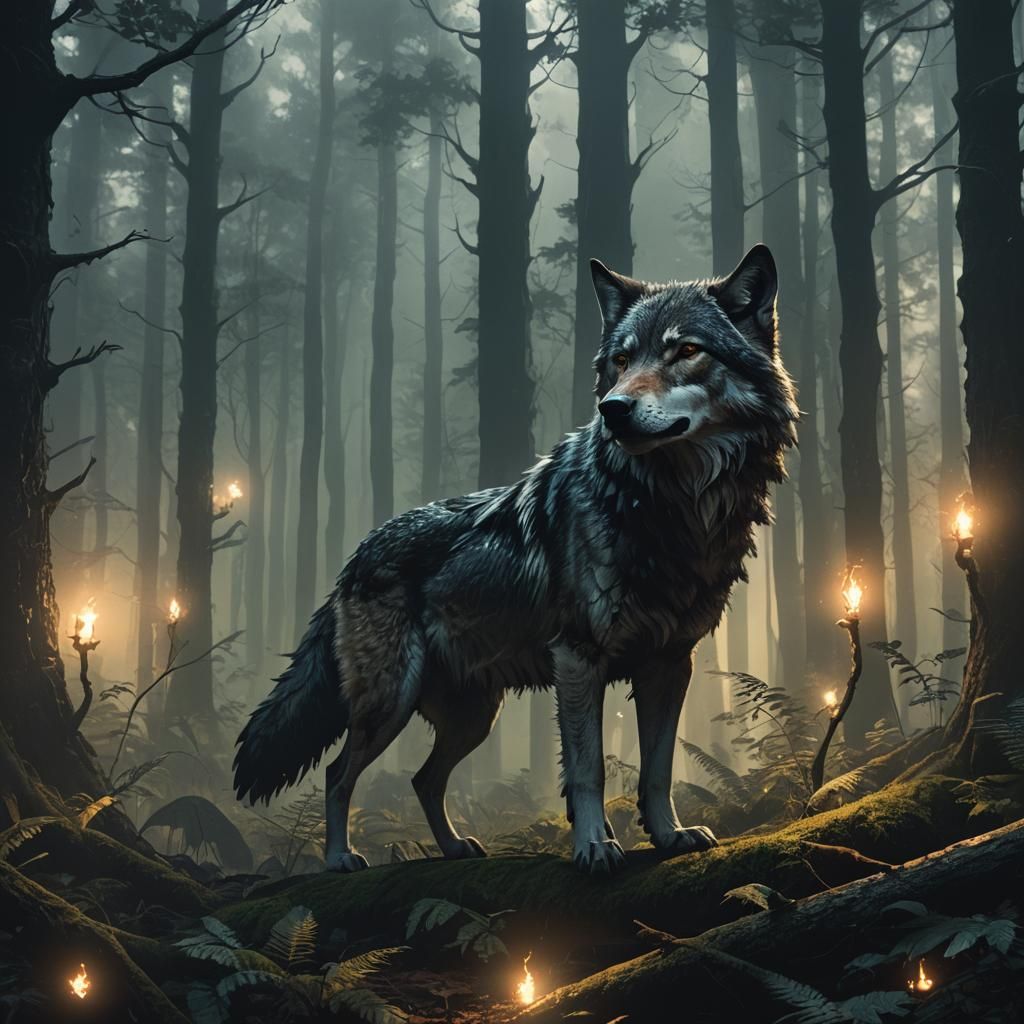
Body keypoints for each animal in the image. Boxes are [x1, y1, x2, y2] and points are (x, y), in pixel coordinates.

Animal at [234, 244, 798, 876]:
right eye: (622, 360)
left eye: (686, 351)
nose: (613, 409)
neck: (672, 506)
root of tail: (355, 555)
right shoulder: (578, 658)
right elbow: (588, 769)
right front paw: (594, 846)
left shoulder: (671, 664)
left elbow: (657, 770)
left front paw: (669, 836)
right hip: (392, 703)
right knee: (338, 774)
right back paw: (339, 857)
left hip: (474, 717)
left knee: (423, 780)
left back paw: (455, 848)